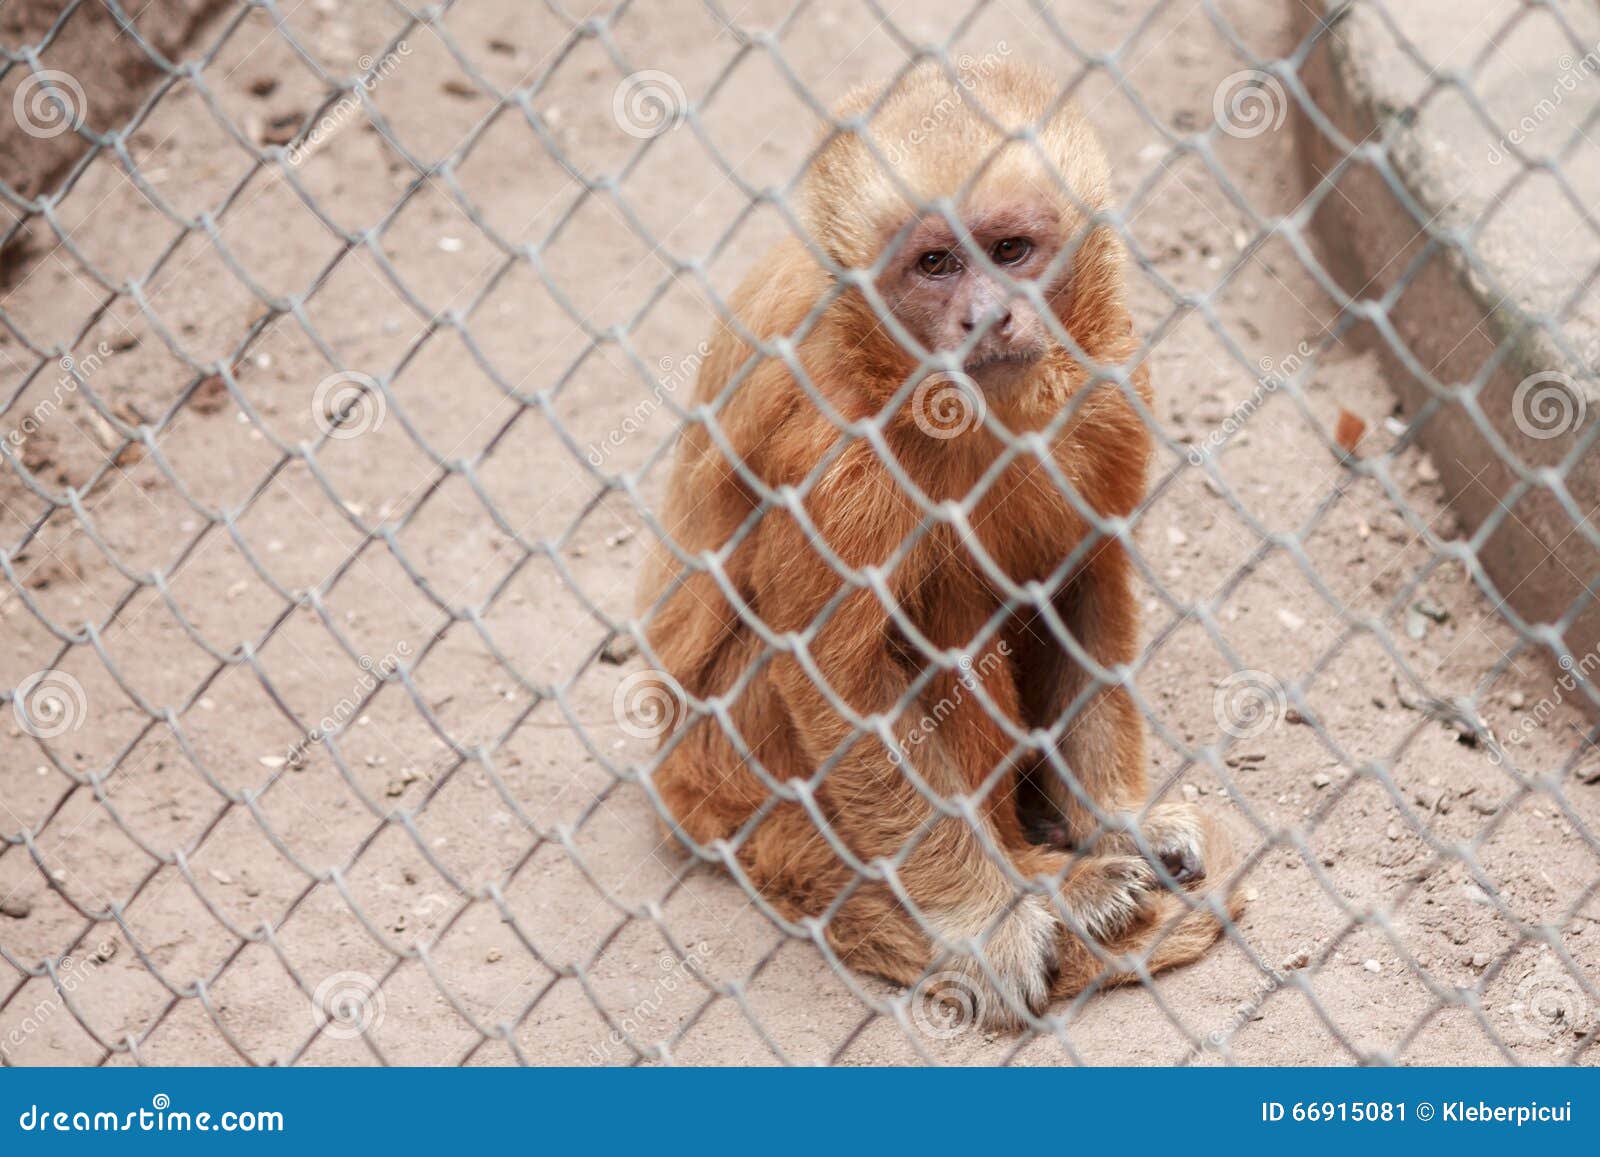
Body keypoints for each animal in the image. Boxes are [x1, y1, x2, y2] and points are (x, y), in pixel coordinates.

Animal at [634, 59, 1240, 1030]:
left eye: (1010, 251)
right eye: (935, 264)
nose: (987, 317)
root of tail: (677, 784)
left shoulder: (1109, 379)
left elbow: (1079, 578)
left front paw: (1114, 819)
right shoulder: (834, 443)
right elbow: (838, 679)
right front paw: (990, 915)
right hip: (738, 766)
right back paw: (1042, 881)